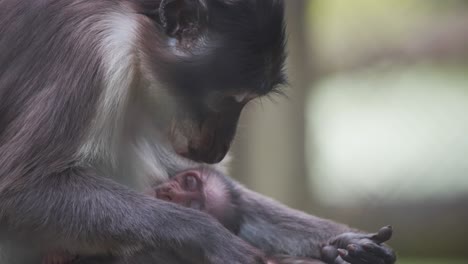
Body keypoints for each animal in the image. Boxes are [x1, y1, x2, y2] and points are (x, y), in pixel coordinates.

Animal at [0, 0, 394, 264]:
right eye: (230, 100)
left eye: (245, 102)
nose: (219, 149)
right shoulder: (95, 49)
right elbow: (20, 192)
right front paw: (207, 236)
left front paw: (346, 244)